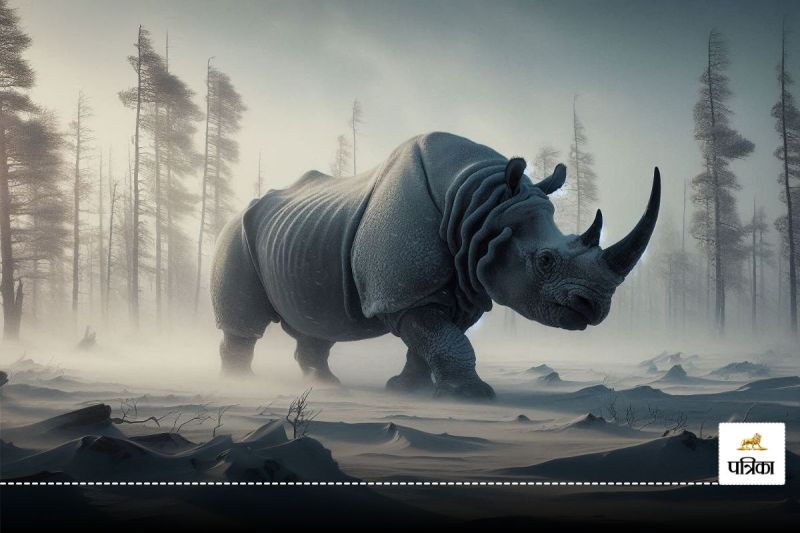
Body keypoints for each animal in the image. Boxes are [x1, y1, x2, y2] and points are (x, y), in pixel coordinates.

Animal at [211, 132, 660, 399]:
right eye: (546, 261)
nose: (594, 308)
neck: (481, 205)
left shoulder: (465, 285)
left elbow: (433, 340)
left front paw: (405, 390)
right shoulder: (405, 293)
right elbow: (444, 338)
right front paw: (471, 396)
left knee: (320, 324)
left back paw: (326, 384)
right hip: (235, 234)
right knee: (245, 323)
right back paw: (240, 384)